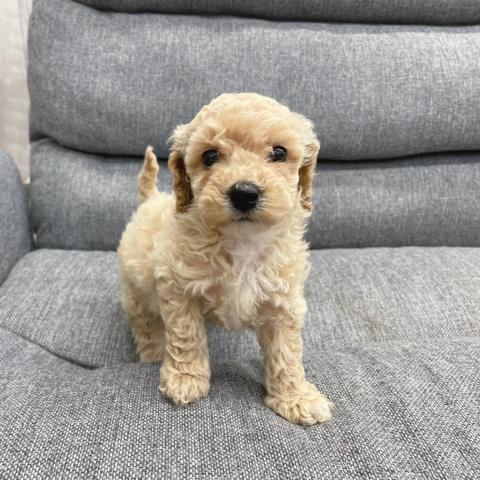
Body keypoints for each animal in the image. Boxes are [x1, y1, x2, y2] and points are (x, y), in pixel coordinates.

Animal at [118, 93, 333, 425]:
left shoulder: (283, 300)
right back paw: (152, 352)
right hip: (136, 287)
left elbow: (286, 351)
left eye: (279, 153)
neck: (241, 241)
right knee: (144, 322)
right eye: (209, 156)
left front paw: (296, 397)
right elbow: (186, 335)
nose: (244, 192)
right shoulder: (179, 288)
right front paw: (185, 379)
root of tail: (151, 198)